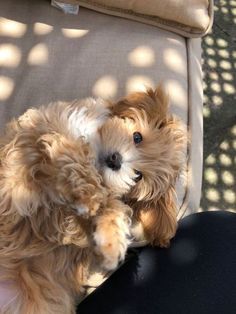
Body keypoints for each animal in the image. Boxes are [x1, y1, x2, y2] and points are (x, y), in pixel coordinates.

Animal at [0, 84, 186, 312]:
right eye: (137, 137)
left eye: (138, 176)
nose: (116, 160)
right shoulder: (38, 130)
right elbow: (69, 152)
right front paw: (89, 193)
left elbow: (109, 204)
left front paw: (112, 240)